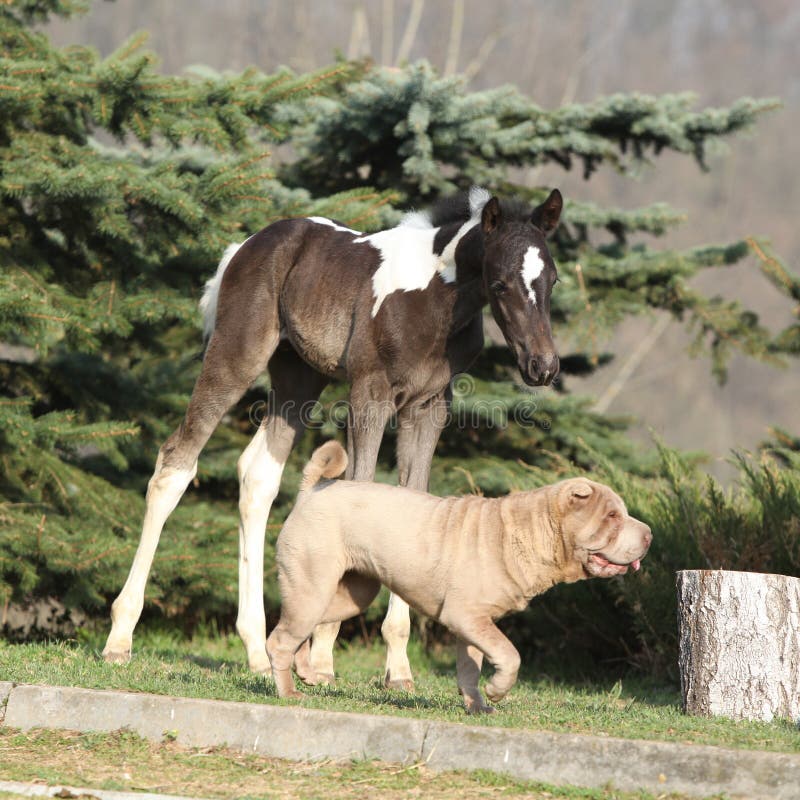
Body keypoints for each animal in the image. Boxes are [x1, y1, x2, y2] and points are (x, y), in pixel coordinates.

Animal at [103, 186, 564, 688]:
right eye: (499, 284)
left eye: (553, 280)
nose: (543, 367)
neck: (436, 299)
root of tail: (245, 246)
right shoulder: (368, 392)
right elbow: (359, 488)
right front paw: (323, 659)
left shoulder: (429, 406)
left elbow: (413, 503)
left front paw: (398, 669)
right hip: (236, 354)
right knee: (176, 462)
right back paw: (120, 639)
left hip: (298, 378)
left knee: (258, 477)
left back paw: (258, 653)